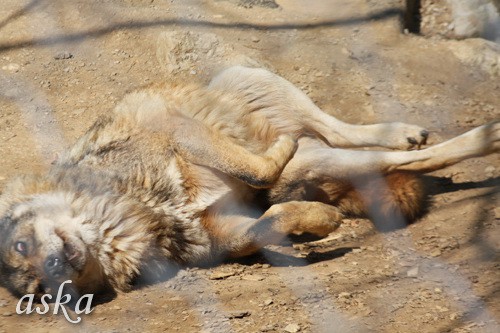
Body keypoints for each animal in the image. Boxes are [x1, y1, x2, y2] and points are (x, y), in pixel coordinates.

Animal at [0, 65, 500, 296]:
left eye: (22, 245)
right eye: (40, 292)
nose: (54, 270)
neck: (147, 211)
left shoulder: (176, 131)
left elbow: (256, 168)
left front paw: (279, 154)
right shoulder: (228, 233)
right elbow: (271, 221)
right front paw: (318, 221)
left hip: (253, 79)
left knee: (342, 131)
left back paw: (428, 133)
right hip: (320, 160)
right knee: (391, 160)